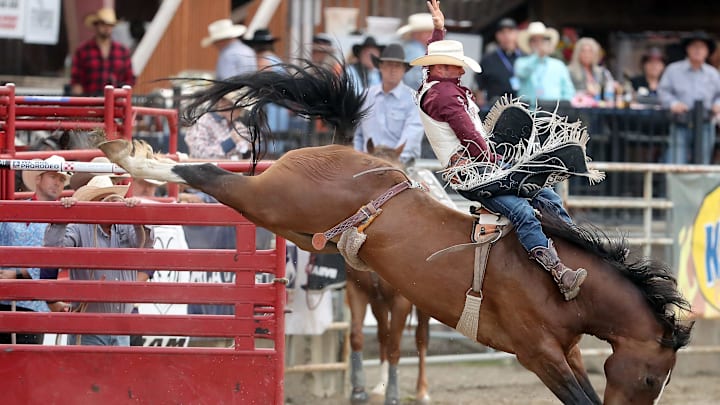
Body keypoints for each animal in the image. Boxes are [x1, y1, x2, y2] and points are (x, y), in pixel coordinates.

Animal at [346, 140, 431, 405]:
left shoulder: (401, 300)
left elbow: (395, 346)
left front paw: (392, 394)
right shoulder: (358, 291)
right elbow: (358, 336)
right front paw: (359, 389)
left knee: (421, 339)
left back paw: (422, 391)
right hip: (379, 302)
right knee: (382, 334)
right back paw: (378, 387)